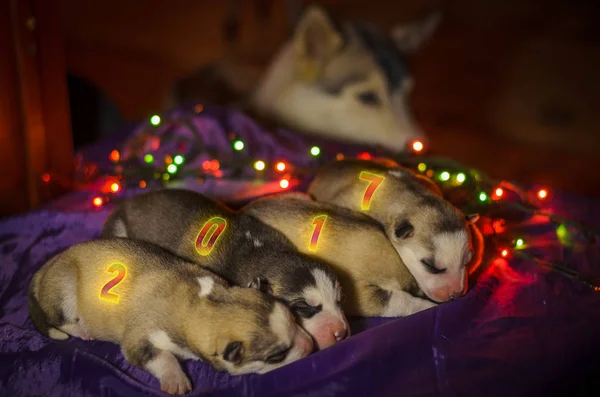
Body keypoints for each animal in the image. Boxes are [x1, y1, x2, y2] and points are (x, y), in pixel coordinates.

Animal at [29, 237, 314, 394]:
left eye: (295, 319)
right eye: (277, 355)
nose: (312, 345)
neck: (204, 304)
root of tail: (44, 268)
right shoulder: (139, 337)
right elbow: (160, 355)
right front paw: (176, 379)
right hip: (64, 285)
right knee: (59, 319)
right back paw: (80, 329)